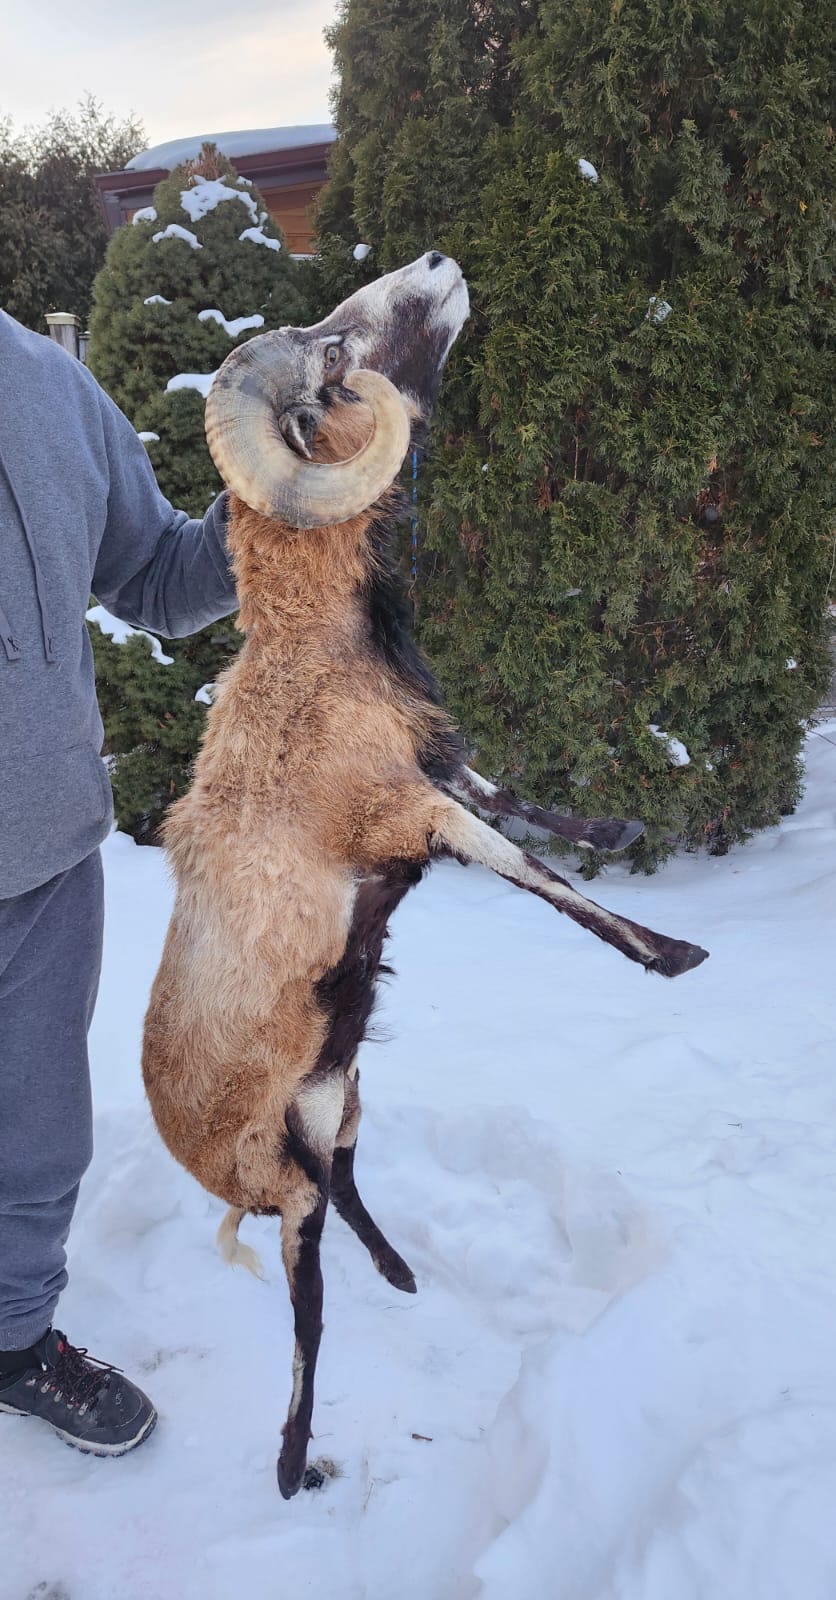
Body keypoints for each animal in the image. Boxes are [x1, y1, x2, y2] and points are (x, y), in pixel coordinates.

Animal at [142, 252, 708, 1498]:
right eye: (334, 354)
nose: (440, 266)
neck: (318, 651)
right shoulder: (401, 810)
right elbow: (517, 861)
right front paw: (671, 953)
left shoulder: (428, 764)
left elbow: (512, 799)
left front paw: (614, 823)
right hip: (288, 1182)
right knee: (306, 1312)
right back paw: (293, 1462)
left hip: (337, 1099)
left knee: (354, 1186)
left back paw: (400, 1272)